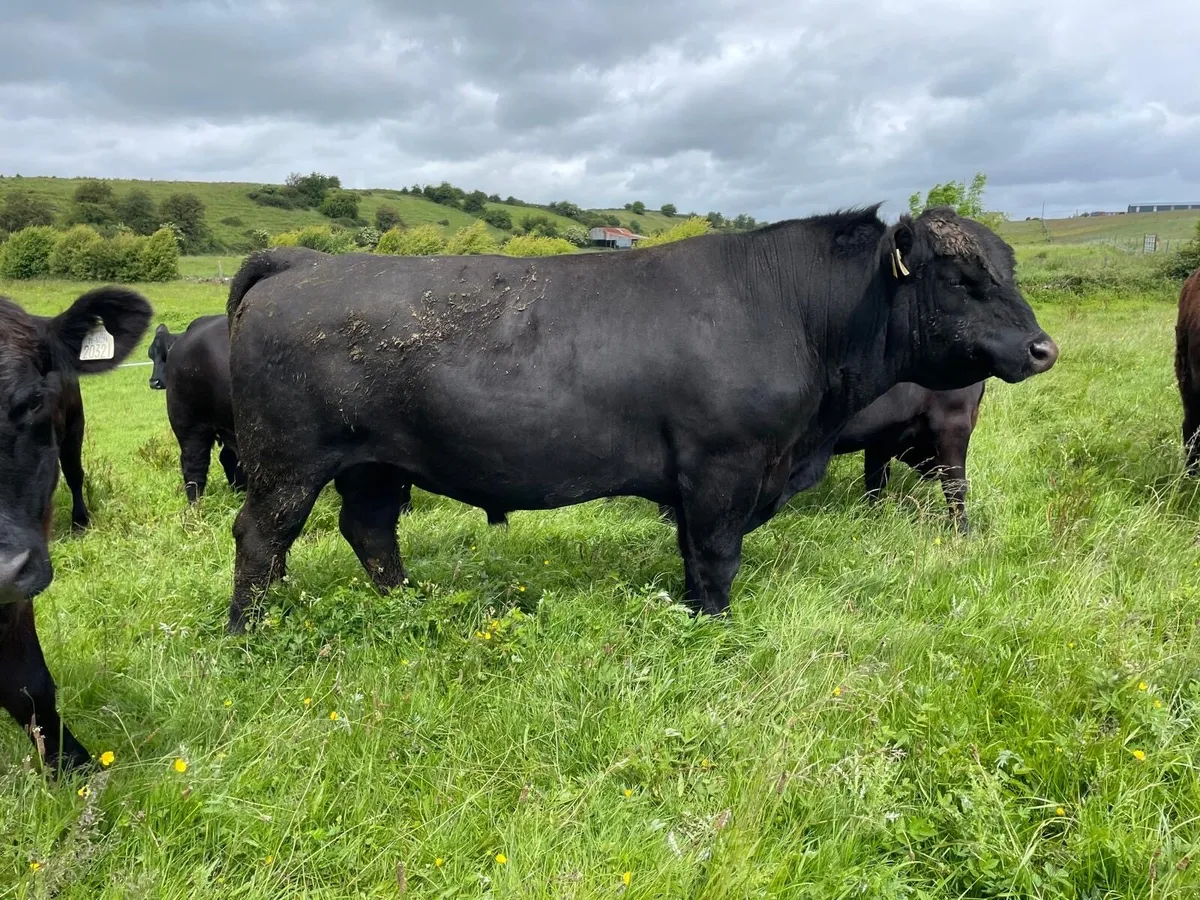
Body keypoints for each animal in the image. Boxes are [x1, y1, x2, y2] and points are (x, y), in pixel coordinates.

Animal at [147, 315, 246, 502]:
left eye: (163, 355)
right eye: (151, 355)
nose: (154, 382)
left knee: (228, 458)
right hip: (190, 425)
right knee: (194, 468)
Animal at [221, 205, 1057, 633]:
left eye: (1008, 268)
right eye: (961, 276)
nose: (1042, 347)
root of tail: (305, 260)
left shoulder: (697, 479)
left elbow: (691, 553)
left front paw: (693, 610)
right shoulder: (724, 467)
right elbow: (717, 555)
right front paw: (716, 626)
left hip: (372, 463)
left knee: (368, 531)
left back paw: (406, 606)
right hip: (288, 462)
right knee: (261, 539)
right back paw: (247, 632)